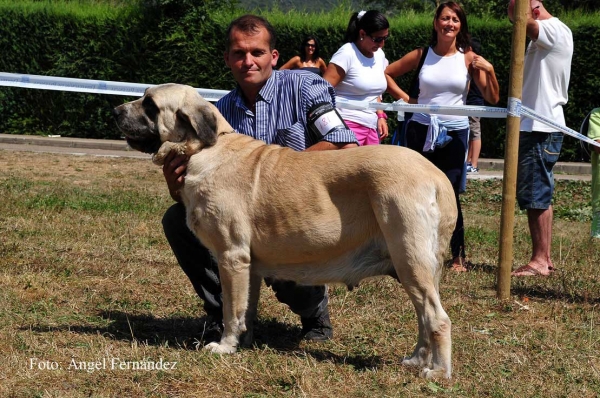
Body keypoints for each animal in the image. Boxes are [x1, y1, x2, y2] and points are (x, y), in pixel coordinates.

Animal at [113, 83, 460, 376]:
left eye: (150, 104)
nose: (116, 111)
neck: (203, 149)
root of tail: (438, 177)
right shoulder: (248, 266)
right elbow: (245, 309)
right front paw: (244, 342)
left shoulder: (231, 256)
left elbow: (230, 310)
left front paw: (224, 346)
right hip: (415, 268)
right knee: (423, 317)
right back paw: (416, 359)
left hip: (410, 259)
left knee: (438, 318)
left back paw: (438, 372)